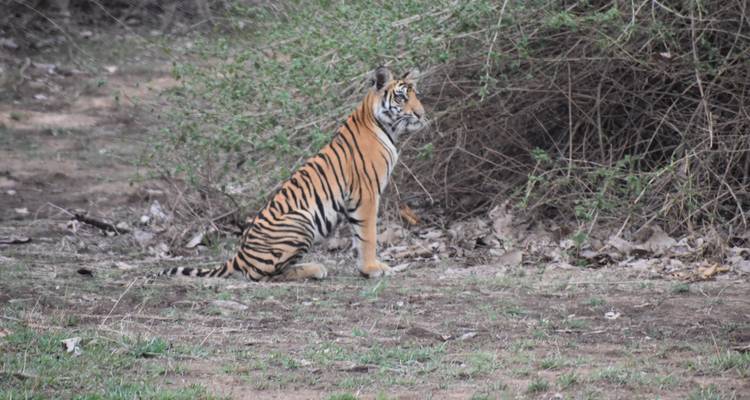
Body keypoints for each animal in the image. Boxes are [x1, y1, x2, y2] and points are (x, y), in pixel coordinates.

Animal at [156, 66, 426, 281]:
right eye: (401, 97)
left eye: (416, 96)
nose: (421, 114)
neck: (385, 126)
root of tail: (238, 256)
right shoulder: (366, 194)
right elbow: (368, 235)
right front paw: (373, 268)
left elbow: (358, 238)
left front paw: (364, 268)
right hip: (301, 222)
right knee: (262, 275)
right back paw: (315, 269)